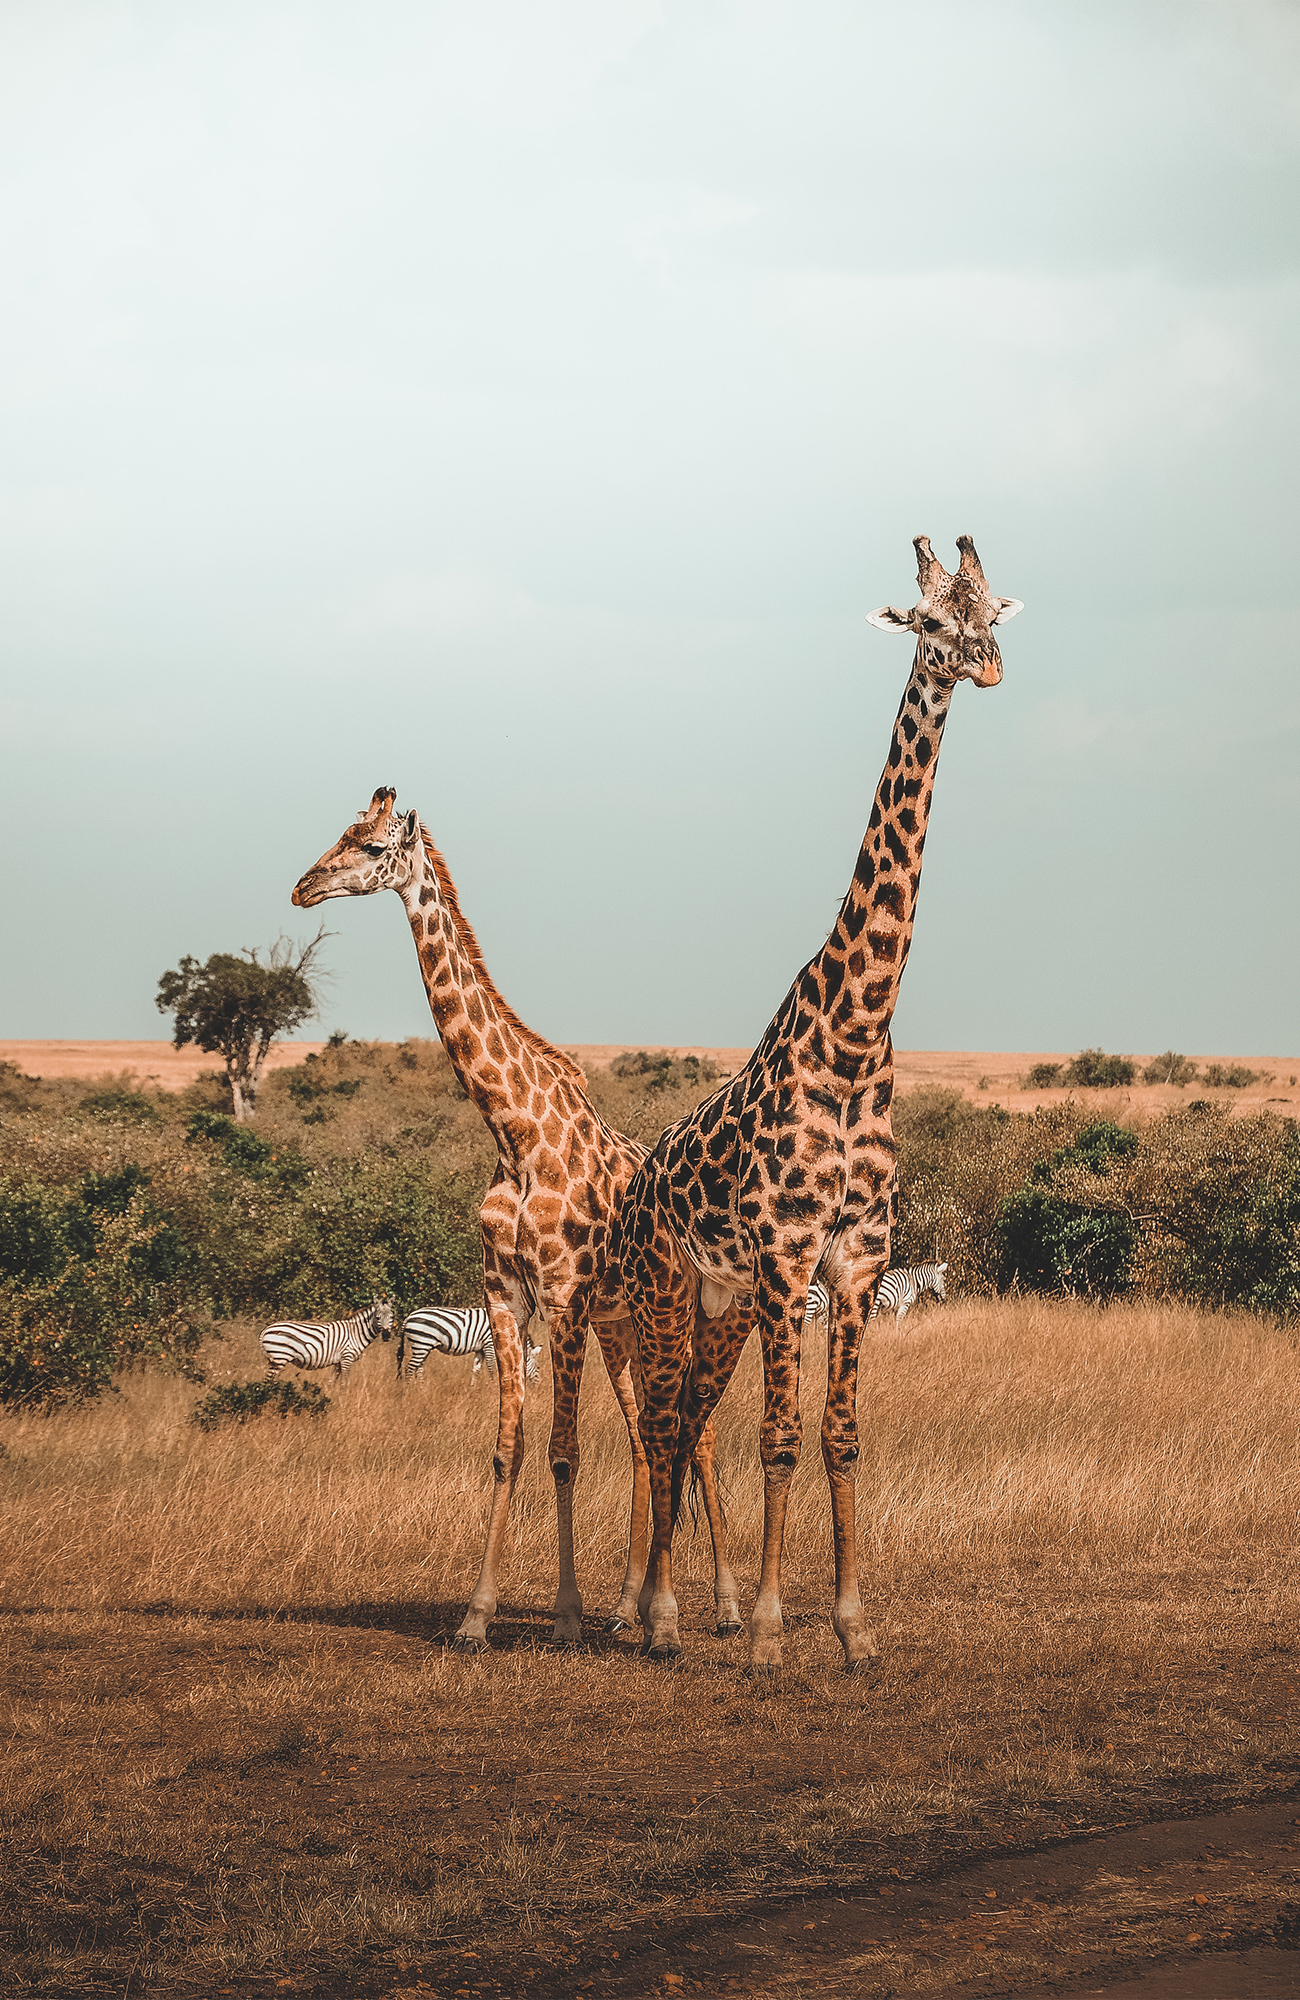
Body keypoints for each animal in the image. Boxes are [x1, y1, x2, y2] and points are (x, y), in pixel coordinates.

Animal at [290, 788, 742, 1649]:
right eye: (338, 832)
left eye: (371, 847)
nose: (302, 887)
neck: (513, 1131)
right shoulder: (507, 1294)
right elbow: (510, 1449)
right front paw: (476, 1616)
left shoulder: (561, 1296)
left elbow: (565, 1452)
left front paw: (562, 1617)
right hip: (621, 1327)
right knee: (646, 1439)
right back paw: (625, 1609)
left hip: (674, 1315)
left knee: (695, 1436)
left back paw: (726, 1609)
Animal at [614, 534, 1022, 1670]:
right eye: (930, 622)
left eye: (992, 614)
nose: (986, 667)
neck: (854, 1038)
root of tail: (640, 1177)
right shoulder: (787, 1254)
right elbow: (781, 1438)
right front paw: (763, 1631)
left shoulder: (858, 1257)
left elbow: (839, 1437)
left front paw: (851, 1626)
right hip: (669, 1286)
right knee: (662, 1423)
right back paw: (652, 1616)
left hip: (716, 1302)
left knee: (687, 1421)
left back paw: (667, 1609)